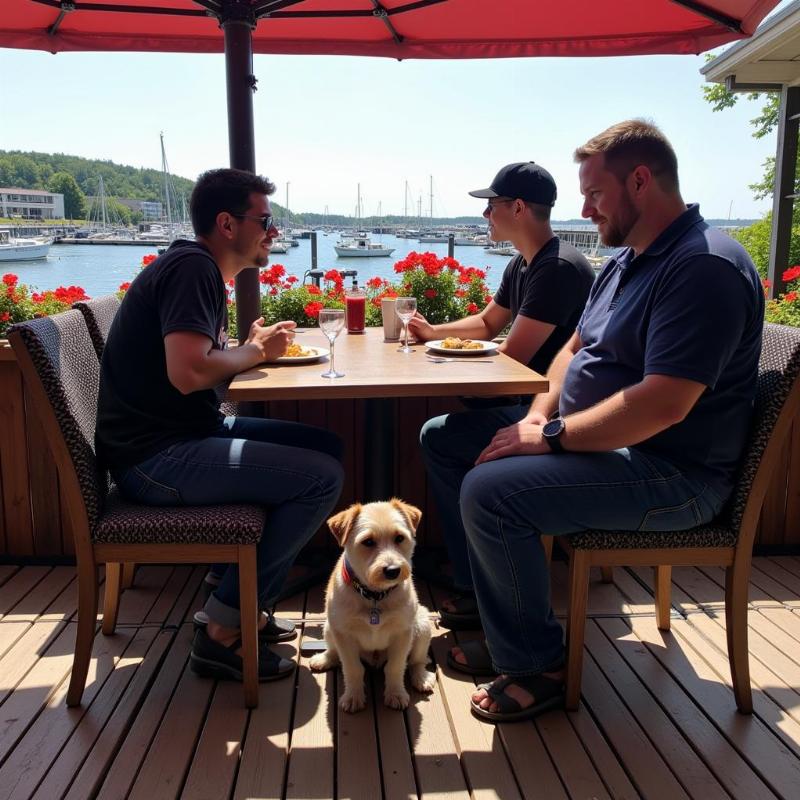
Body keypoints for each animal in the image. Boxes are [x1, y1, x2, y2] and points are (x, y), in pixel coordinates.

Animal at [310, 500, 438, 712]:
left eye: (399, 538)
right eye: (368, 541)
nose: (393, 570)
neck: (374, 595)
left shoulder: (403, 632)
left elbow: (395, 667)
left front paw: (395, 694)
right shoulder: (344, 634)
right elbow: (352, 668)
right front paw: (353, 696)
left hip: (422, 625)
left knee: (416, 661)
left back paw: (421, 677)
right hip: (329, 627)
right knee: (334, 651)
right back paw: (325, 658)